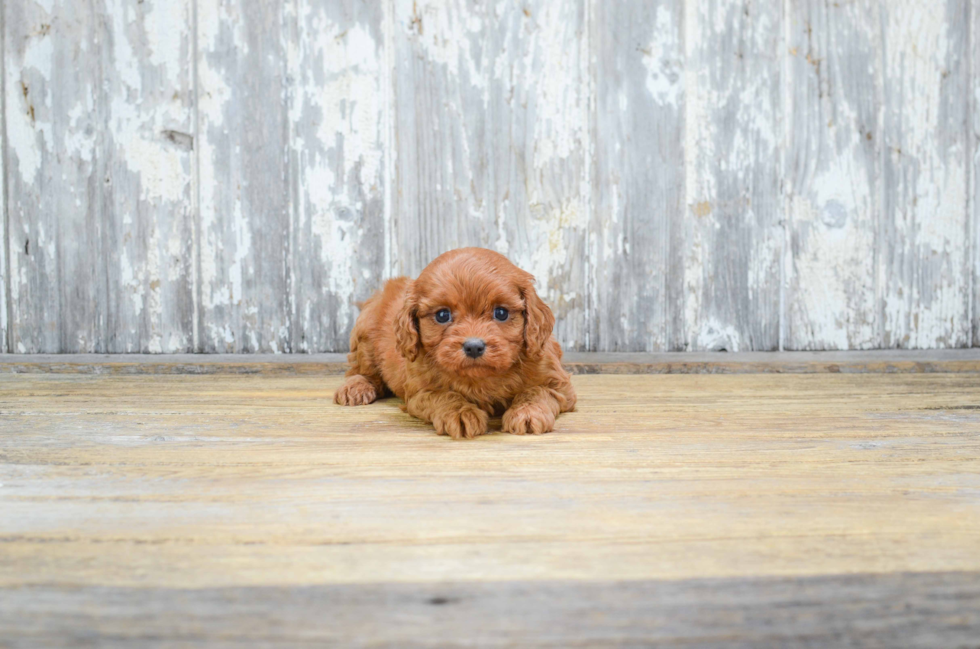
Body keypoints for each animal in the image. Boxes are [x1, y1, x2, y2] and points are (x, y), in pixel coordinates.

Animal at [336, 246, 580, 438]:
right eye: (442, 315)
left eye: (501, 313)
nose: (473, 346)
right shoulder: (420, 391)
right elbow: (444, 395)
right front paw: (461, 413)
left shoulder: (557, 382)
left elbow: (537, 391)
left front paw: (527, 413)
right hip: (365, 336)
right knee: (360, 370)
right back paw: (355, 387)